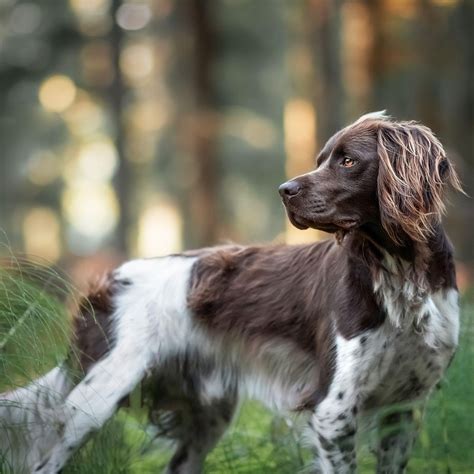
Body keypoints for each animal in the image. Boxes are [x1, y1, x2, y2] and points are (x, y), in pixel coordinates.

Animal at [0, 112, 462, 474]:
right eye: (320, 160)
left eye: (348, 161)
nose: (284, 190)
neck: (399, 271)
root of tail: (105, 282)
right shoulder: (333, 410)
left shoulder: (405, 408)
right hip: (96, 398)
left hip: (209, 415)